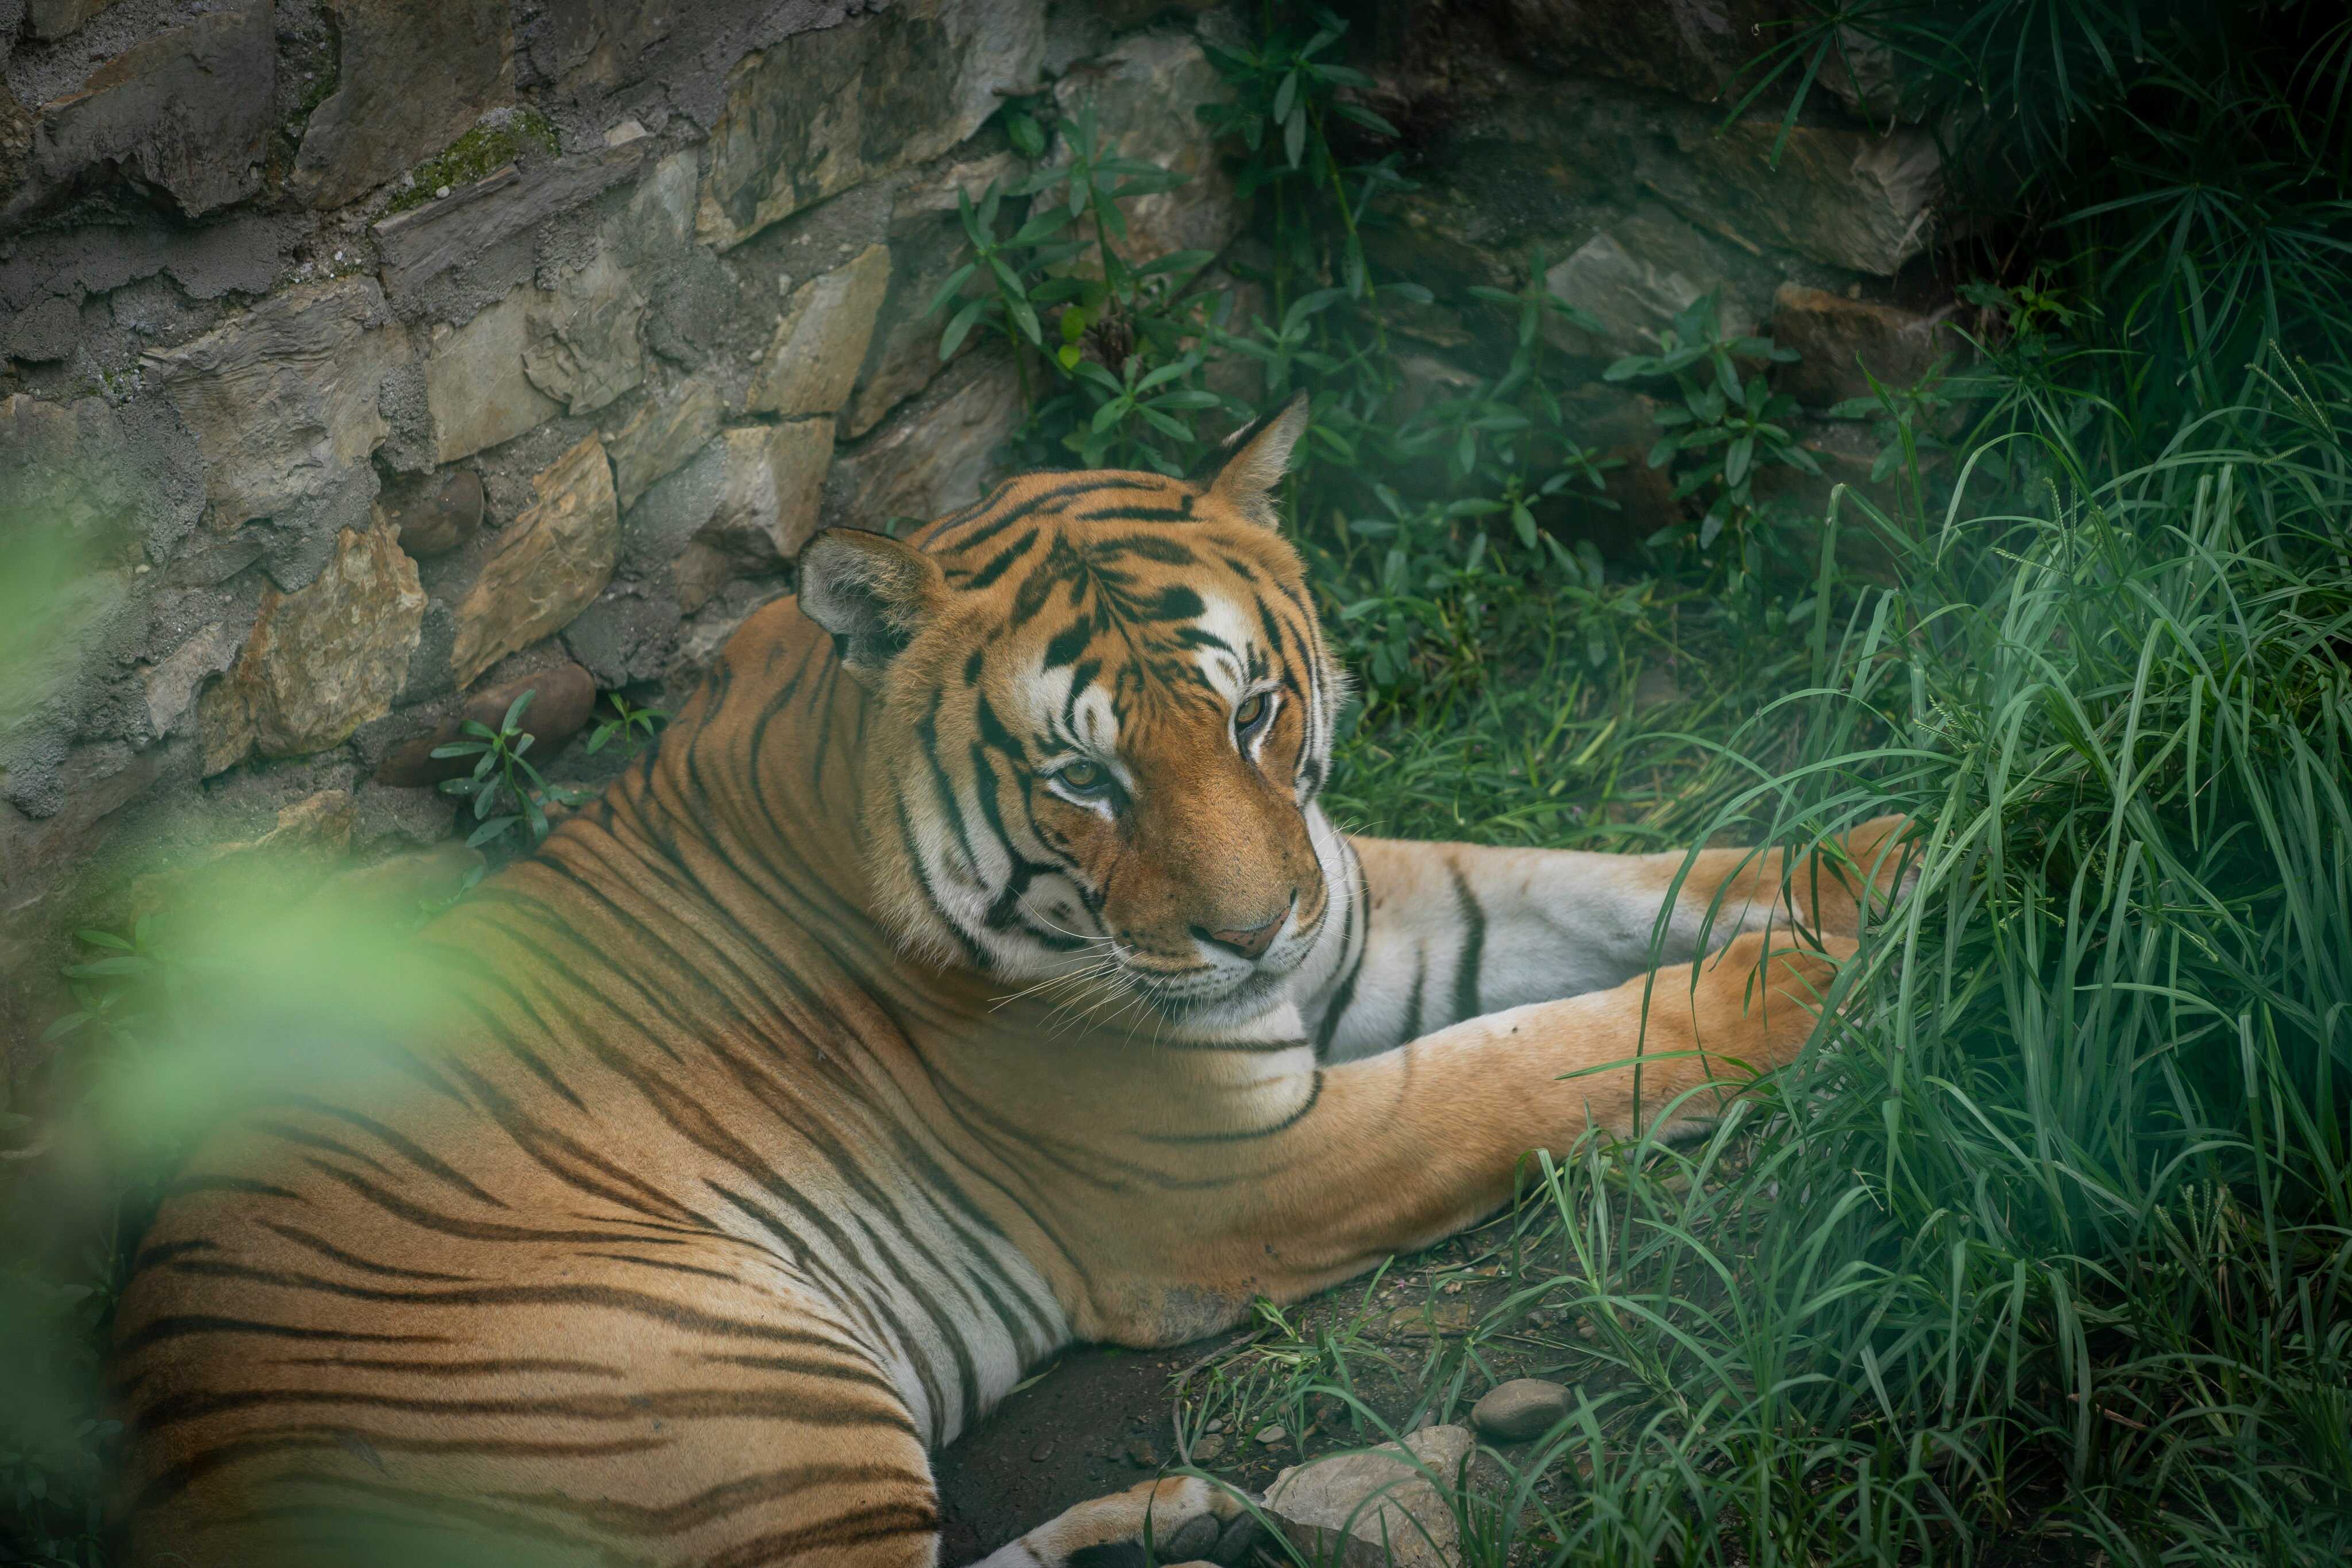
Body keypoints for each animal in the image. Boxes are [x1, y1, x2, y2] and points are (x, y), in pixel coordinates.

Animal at [111, 396, 1911, 1568]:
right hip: (758, 1406)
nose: (1252, 934)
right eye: (1084, 780)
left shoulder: (1351, 913)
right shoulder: (1243, 1161)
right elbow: (1538, 1061)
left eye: (1254, 712)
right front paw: (1797, 988)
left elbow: (1601, 886)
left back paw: (1175, 1534)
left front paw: (1897, 850)